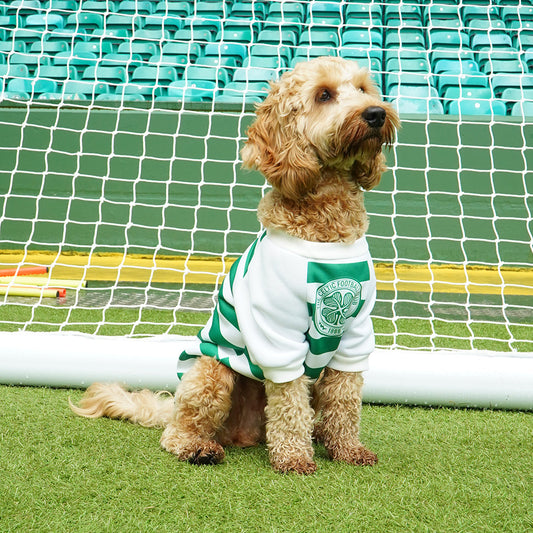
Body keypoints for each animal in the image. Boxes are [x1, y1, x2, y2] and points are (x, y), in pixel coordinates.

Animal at [72, 58, 402, 474]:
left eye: (363, 89)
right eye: (324, 95)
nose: (375, 114)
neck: (326, 226)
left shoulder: (355, 331)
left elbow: (344, 400)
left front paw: (347, 449)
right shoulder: (278, 333)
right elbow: (290, 405)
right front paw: (293, 458)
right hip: (211, 375)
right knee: (178, 431)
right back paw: (198, 447)